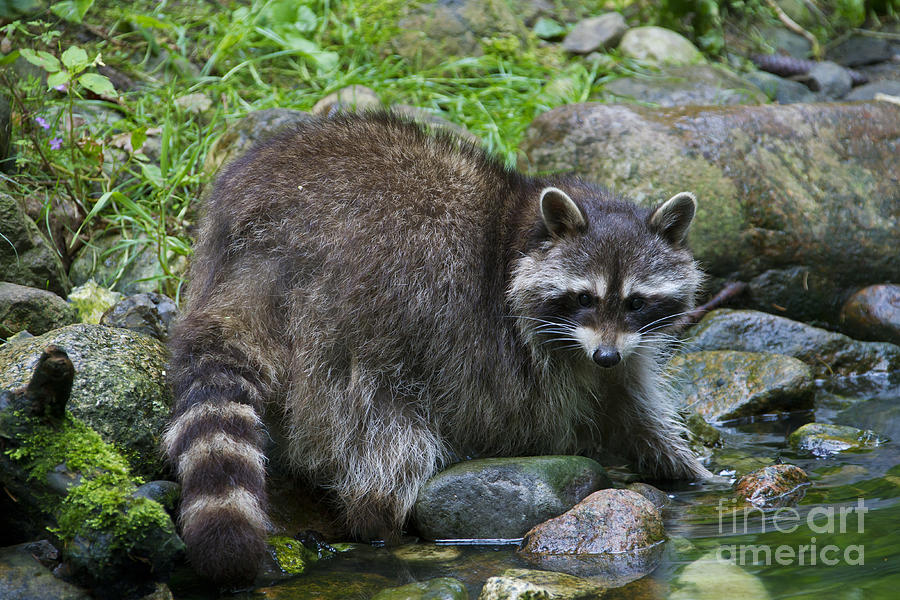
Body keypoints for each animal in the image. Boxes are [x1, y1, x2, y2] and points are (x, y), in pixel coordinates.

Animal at [163, 110, 712, 584]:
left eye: (636, 302)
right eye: (583, 298)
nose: (605, 356)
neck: (520, 228)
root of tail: (260, 243)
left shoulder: (624, 348)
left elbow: (629, 406)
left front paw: (686, 468)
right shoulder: (517, 345)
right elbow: (539, 414)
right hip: (362, 309)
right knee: (378, 431)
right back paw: (378, 518)